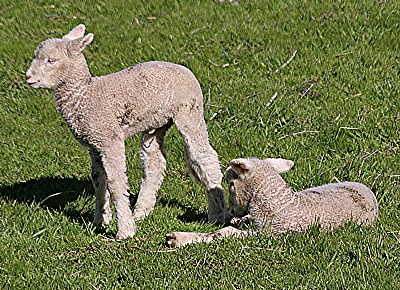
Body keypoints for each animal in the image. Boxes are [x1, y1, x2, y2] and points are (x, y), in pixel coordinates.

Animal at [25, 23, 227, 239]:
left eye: (51, 60)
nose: (28, 76)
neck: (86, 94)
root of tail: (185, 69)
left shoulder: (110, 139)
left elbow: (115, 183)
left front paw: (125, 231)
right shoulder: (94, 143)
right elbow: (99, 181)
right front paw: (100, 221)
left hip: (189, 110)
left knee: (204, 156)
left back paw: (216, 214)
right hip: (156, 122)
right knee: (154, 161)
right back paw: (141, 212)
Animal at [166, 157, 378, 246]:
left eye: (231, 184)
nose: (232, 212)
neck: (282, 204)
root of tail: (367, 190)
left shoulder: (268, 234)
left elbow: (223, 233)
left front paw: (178, 239)